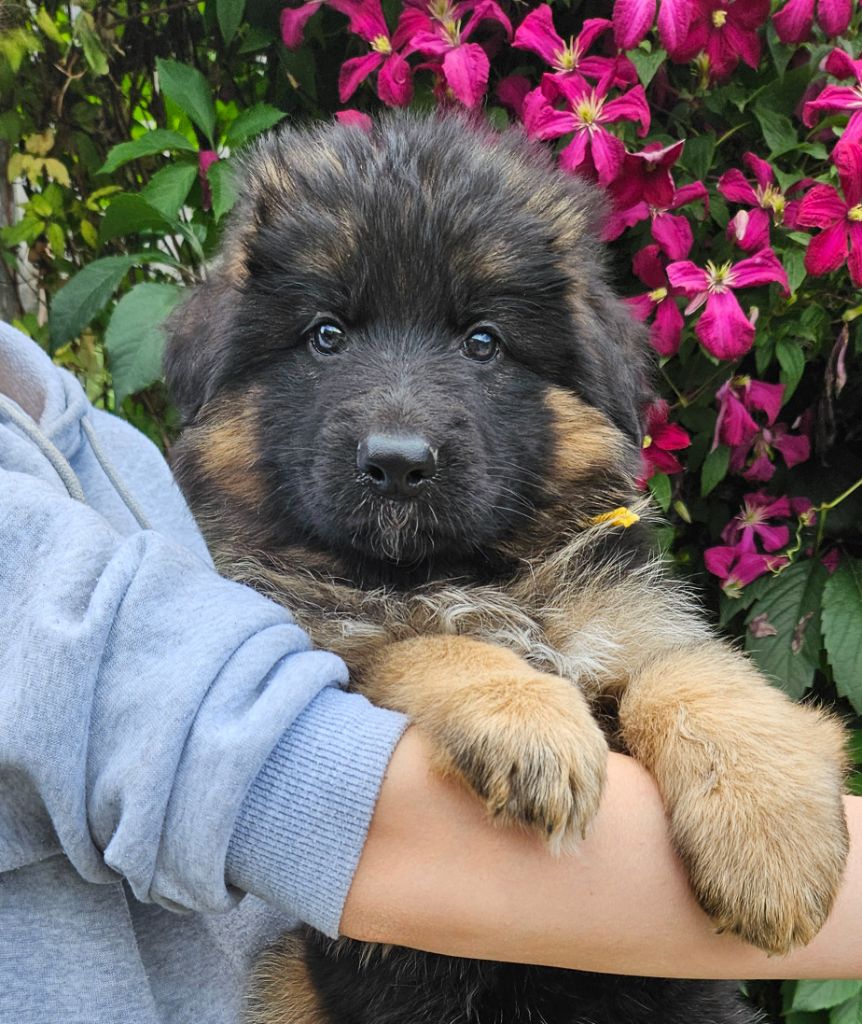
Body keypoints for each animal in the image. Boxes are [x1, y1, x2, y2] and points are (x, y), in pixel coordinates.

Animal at [162, 114, 847, 1024]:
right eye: (325, 336)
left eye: (482, 341)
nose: (398, 463)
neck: (452, 567)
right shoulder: (325, 637)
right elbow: (428, 642)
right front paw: (528, 720)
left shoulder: (632, 614)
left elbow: (695, 675)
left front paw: (772, 838)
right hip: (289, 980)